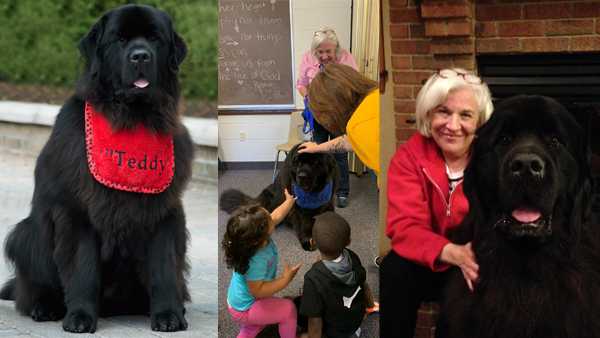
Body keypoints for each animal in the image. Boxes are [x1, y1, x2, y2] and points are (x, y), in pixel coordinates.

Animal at [0, 3, 192, 334]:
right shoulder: (79, 211)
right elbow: (83, 269)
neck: (132, 119)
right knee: (32, 287)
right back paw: (45, 307)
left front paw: (168, 314)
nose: (140, 56)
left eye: (155, 39)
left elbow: (165, 267)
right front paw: (79, 316)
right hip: (27, 234)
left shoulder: (165, 211)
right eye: (120, 40)